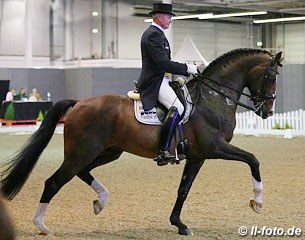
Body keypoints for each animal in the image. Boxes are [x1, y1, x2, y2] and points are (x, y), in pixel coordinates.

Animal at [0, 48, 280, 236]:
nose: (267, 112)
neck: (213, 98)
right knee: (54, 181)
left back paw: (100, 201)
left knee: (82, 172)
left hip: (108, 152)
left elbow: (183, 189)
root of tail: (79, 103)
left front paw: (179, 224)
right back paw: (42, 225)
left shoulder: (198, 156)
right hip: (82, 152)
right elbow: (253, 160)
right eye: (270, 77)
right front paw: (257, 202)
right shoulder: (215, 148)